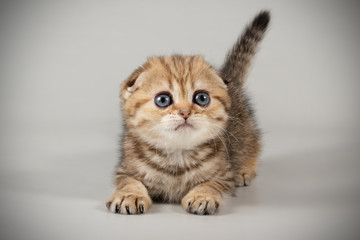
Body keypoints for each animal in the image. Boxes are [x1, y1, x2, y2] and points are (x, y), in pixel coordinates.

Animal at [106, 10, 270, 216]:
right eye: (163, 100)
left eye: (201, 98)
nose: (185, 112)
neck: (177, 155)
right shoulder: (126, 168)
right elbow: (128, 181)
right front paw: (129, 195)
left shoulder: (224, 174)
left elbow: (212, 183)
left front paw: (203, 196)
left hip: (245, 130)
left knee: (252, 143)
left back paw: (244, 170)